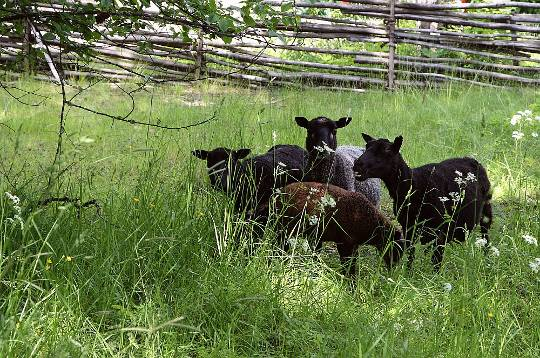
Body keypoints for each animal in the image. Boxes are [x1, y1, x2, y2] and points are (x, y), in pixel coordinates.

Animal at [354, 134, 494, 268]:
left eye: (387, 150)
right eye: (367, 146)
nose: (357, 164)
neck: (413, 186)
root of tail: (471, 159)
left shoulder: (440, 231)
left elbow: (436, 261)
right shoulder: (408, 227)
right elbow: (411, 255)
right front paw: (408, 273)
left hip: (486, 209)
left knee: (485, 234)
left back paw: (486, 258)